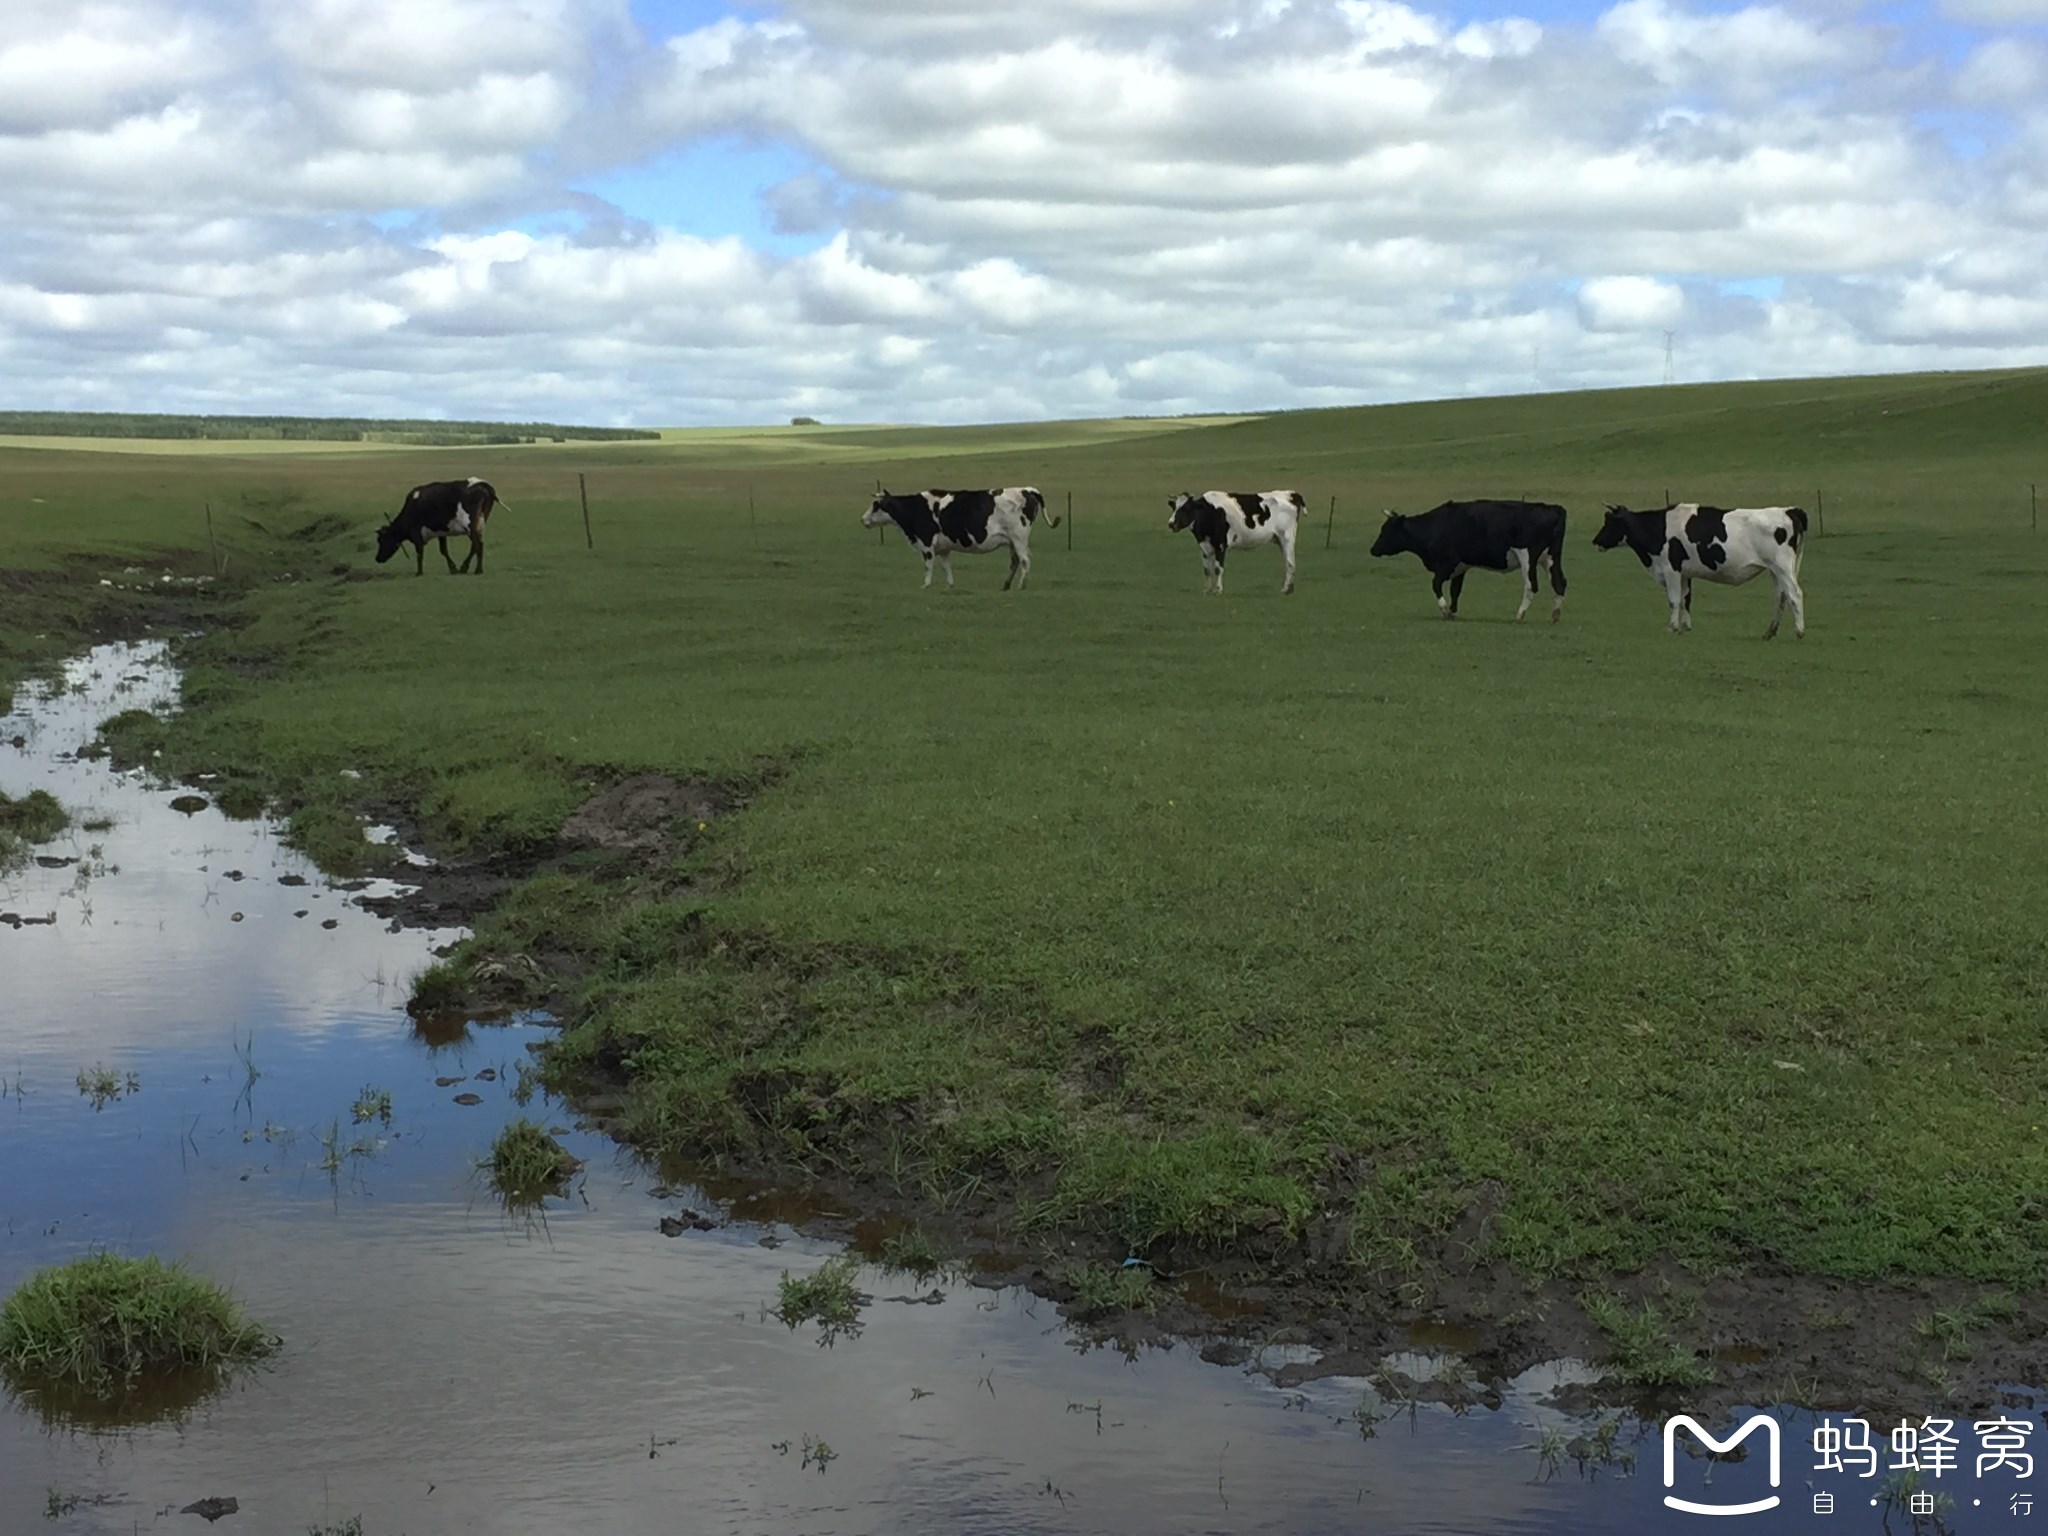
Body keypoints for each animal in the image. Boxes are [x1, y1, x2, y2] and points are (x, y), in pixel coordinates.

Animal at [860, 489, 1056, 593]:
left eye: (876, 505)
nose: (862, 519)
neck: (915, 510)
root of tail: (1028, 490)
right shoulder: (943, 549)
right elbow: (946, 566)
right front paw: (950, 586)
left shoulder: (927, 544)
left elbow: (928, 566)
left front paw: (926, 585)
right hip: (1012, 542)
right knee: (1015, 561)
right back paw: (1006, 585)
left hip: (1019, 538)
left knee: (1024, 560)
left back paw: (1021, 585)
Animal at [1163, 493, 1302, 593]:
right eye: (1174, 507)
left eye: (1185, 508)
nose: (1171, 524)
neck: (1210, 513)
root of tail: (1290, 494)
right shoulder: (1204, 547)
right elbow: (1207, 570)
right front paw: (1207, 590)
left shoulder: (1220, 545)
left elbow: (1218, 568)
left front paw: (1217, 590)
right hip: (1280, 540)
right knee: (1288, 562)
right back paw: (1289, 588)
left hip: (1286, 538)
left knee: (1290, 562)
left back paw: (1286, 589)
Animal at [1376, 505, 1564, 626]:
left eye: (1385, 531)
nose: (1373, 549)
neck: (1437, 526)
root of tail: (1553, 509)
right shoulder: (1461, 566)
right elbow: (1455, 590)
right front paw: (1453, 611)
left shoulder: (1447, 563)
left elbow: (1436, 584)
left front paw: (1445, 611)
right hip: (1551, 558)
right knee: (1559, 583)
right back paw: (1554, 616)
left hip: (1527, 557)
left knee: (1531, 586)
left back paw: (1519, 616)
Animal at [1589, 505, 1802, 638]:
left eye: (1610, 523)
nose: (1595, 540)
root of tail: (1788, 510)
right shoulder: (1685, 573)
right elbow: (1686, 599)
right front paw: (1685, 627)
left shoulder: (1671, 569)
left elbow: (1674, 600)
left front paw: (1672, 627)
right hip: (1775, 570)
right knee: (1781, 597)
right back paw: (1770, 632)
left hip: (1782, 567)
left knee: (1795, 594)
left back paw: (1799, 631)